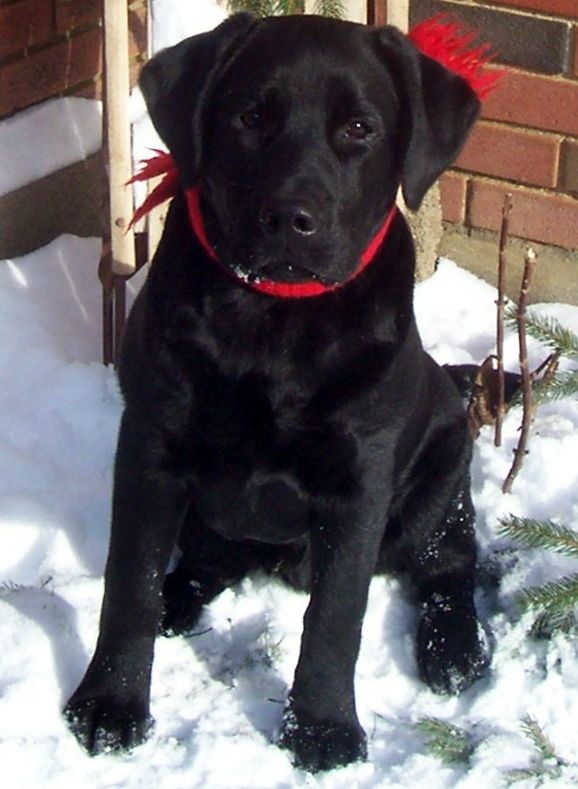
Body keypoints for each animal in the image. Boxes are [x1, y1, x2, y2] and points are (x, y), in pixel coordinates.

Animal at [65, 15, 488, 772]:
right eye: (250, 117)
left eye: (360, 127)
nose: (290, 216)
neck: (271, 323)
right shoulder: (149, 445)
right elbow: (128, 584)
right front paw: (111, 703)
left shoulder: (360, 480)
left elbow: (336, 616)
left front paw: (321, 727)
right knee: (207, 559)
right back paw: (178, 601)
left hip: (440, 469)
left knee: (452, 563)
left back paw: (453, 651)